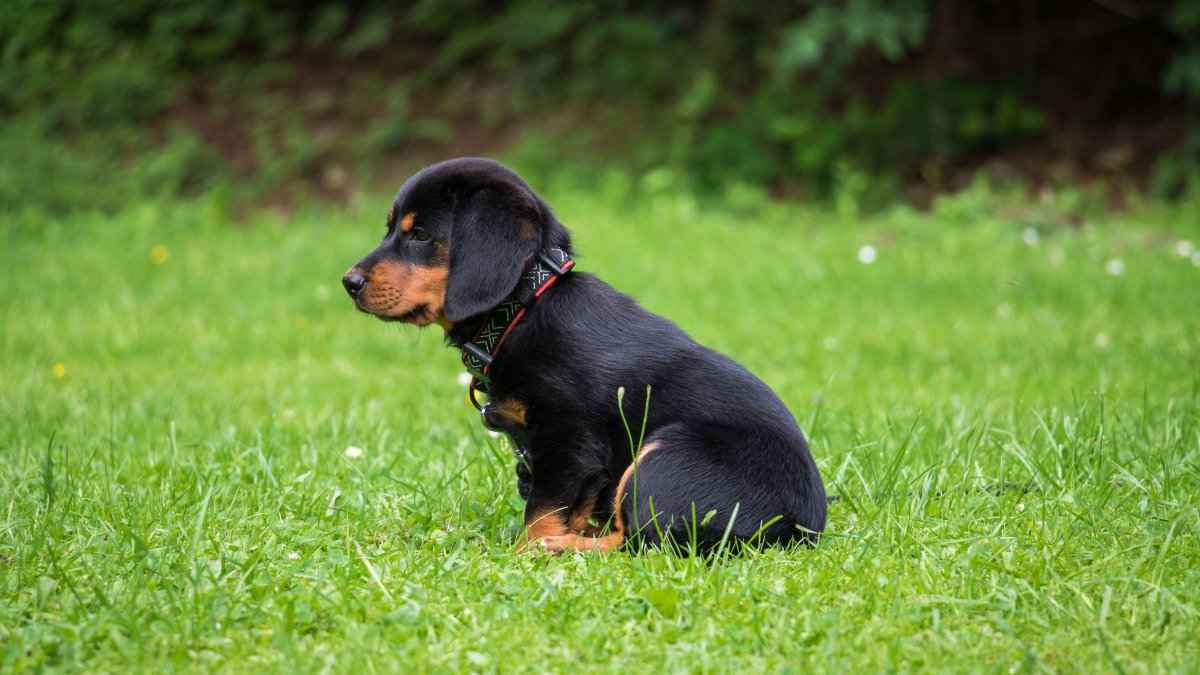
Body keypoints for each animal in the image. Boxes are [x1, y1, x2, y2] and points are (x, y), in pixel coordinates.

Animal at [340, 157, 825, 552]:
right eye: (391, 228)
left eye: (420, 235)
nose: (348, 282)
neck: (525, 306)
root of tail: (800, 529)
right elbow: (568, 505)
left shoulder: (567, 440)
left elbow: (541, 511)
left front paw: (527, 550)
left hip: (666, 454)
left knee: (643, 541)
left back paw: (558, 549)